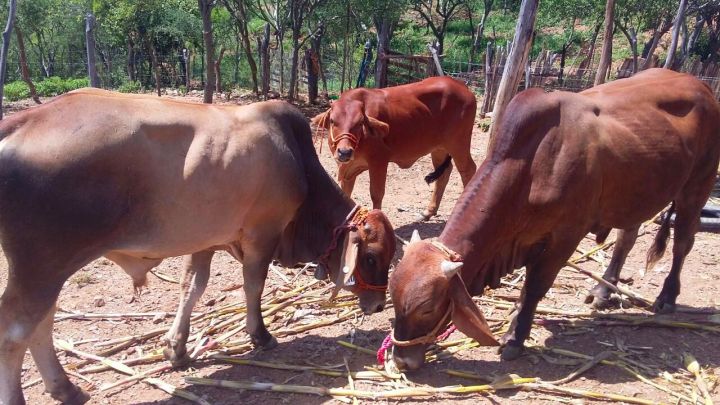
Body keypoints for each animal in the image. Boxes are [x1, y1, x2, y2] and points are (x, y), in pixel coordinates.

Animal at [0, 90, 396, 402]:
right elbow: (254, 286)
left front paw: (176, 349)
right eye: (371, 257)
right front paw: (260, 335)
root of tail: (23, 120)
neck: (297, 161)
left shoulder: (207, 240)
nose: (378, 304)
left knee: (42, 324)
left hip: (49, 270)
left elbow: (192, 286)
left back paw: (65, 388)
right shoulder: (262, 234)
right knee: (15, 332)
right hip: (41, 267)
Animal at [310, 77, 476, 219]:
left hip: (458, 143)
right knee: (445, 173)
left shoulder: (379, 161)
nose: (344, 152)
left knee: (468, 170)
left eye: (360, 122)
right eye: (332, 121)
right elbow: (346, 192)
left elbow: (376, 193)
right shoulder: (348, 168)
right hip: (438, 148)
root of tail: (461, 85)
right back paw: (428, 212)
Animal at [388, 68, 720, 370]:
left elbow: (534, 286)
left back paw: (667, 297)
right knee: (625, 240)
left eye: (427, 308)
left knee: (682, 243)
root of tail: (702, 85)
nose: (402, 360)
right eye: (393, 295)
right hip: (636, 195)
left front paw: (515, 338)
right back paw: (602, 292)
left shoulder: (566, 236)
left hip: (697, 186)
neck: (533, 165)